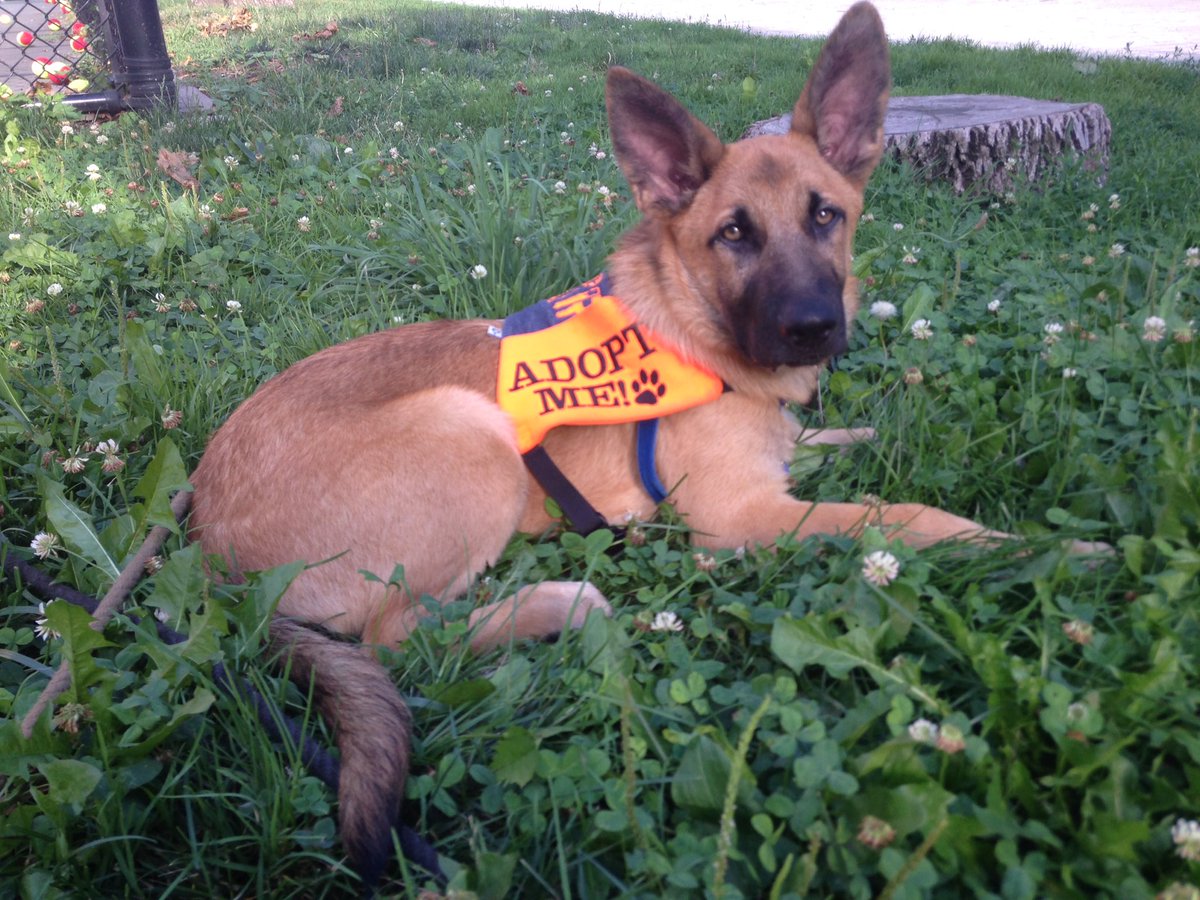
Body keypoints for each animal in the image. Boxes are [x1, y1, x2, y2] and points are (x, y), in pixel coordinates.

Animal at [192, 0, 1046, 883]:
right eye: (732, 234)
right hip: (471, 434)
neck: (699, 336)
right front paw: (1026, 545)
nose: (813, 328)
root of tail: (212, 557)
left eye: (825, 215)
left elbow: (834, 439)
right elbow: (902, 516)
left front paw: (870, 434)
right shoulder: (740, 519)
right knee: (398, 637)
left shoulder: (775, 464)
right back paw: (561, 603)